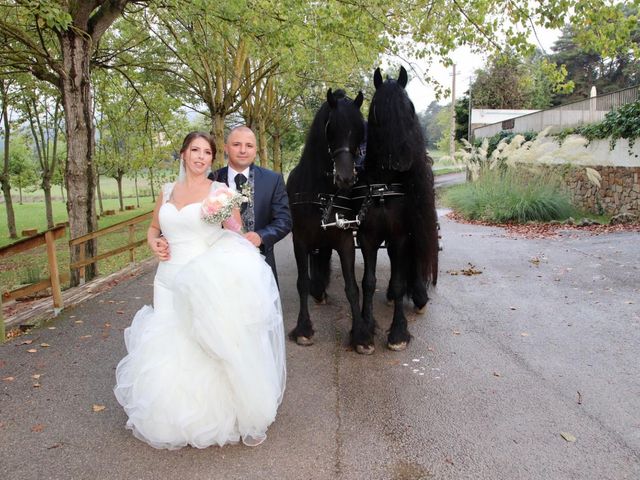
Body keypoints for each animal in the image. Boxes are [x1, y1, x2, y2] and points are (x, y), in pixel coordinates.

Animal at [284, 88, 364, 346]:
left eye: (359, 129)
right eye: (332, 128)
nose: (346, 178)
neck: (320, 193)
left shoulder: (345, 240)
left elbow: (352, 287)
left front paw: (361, 335)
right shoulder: (299, 240)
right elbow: (302, 283)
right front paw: (303, 328)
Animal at [352, 66, 438, 352]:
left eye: (409, 107)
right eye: (377, 109)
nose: (402, 160)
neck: (382, 188)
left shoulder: (401, 236)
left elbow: (401, 281)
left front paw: (398, 331)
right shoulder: (367, 238)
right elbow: (368, 282)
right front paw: (366, 328)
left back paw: (419, 296)